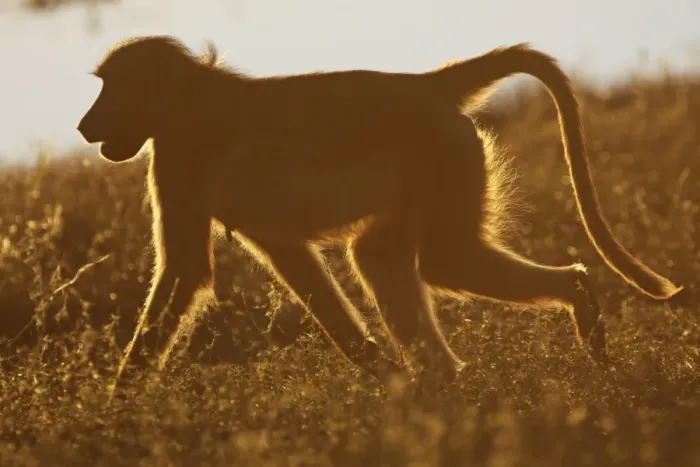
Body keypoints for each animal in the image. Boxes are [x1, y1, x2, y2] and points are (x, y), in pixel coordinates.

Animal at [76, 35, 682, 392]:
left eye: (110, 88)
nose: (84, 126)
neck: (185, 98)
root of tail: (423, 84)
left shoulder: (179, 154)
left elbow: (184, 272)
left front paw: (117, 407)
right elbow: (297, 268)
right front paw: (382, 375)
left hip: (443, 156)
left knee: (445, 263)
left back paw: (576, 305)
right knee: (380, 257)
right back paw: (443, 386)